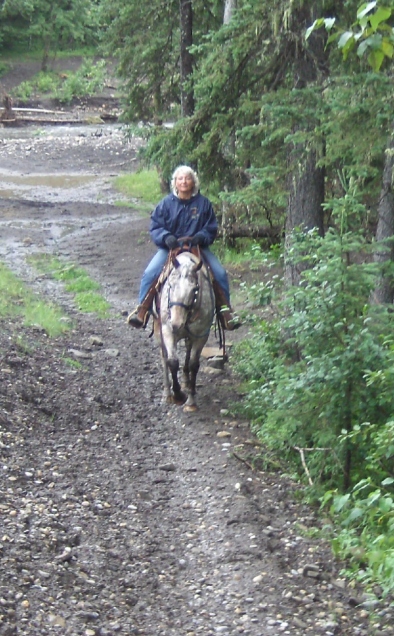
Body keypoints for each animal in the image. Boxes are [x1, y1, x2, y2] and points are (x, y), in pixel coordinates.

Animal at [155, 248, 215, 412]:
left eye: (195, 289)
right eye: (170, 285)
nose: (176, 323)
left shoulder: (201, 335)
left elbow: (194, 364)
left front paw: (191, 401)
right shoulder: (168, 331)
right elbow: (172, 361)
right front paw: (177, 395)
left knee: (188, 351)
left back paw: (186, 381)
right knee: (163, 356)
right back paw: (167, 393)